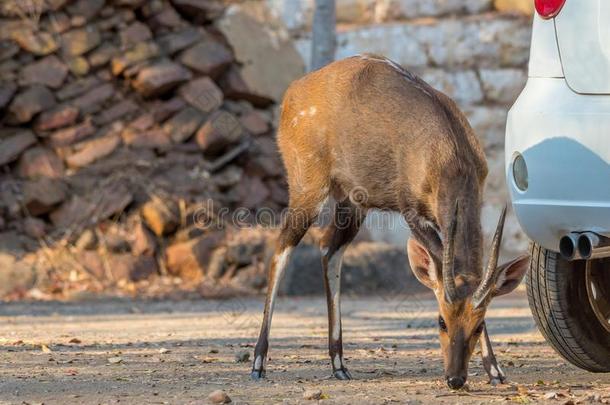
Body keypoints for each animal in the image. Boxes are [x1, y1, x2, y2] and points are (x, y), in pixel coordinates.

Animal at [251, 54, 528, 388]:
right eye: (440, 321)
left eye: (479, 325)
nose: (455, 378)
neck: (453, 159)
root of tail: (288, 98)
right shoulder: (409, 207)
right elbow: (440, 262)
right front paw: (493, 370)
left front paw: (496, 371)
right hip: (307, 181)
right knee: (282, 248)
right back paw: (258, 362)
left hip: (353, 198)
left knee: (329, 248)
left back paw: (339, 363)